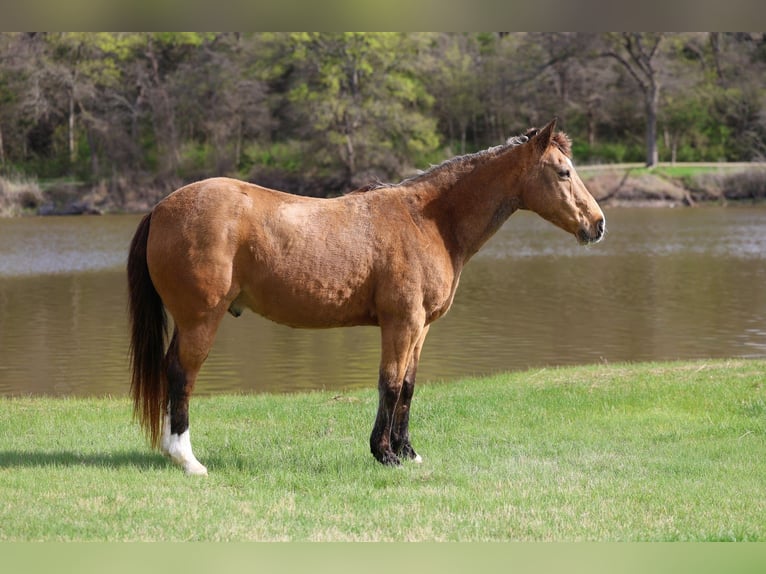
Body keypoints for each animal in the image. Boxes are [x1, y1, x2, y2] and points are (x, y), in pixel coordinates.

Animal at [127, 118, 605, 475]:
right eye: (564, 171)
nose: (598, 224)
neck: (428, 219)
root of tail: (162, 207)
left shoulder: (421, 329)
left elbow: (408, 386)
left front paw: (409, 452)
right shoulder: (401, 323)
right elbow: (389, 384)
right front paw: (385, 454)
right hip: (201, 321)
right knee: (182, 376)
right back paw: (188, 460)